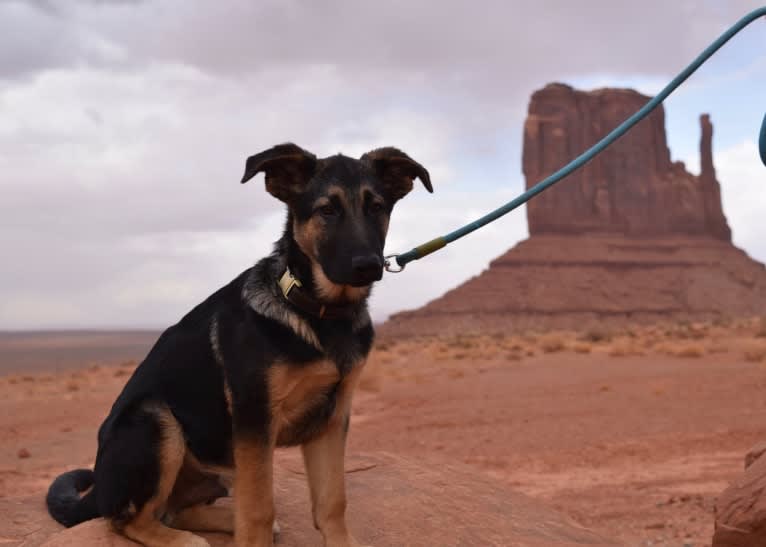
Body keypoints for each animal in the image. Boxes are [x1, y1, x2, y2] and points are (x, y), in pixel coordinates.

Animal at [46, 146, 432, 547]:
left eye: (377, 207)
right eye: (327, 210)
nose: (368, 266)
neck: (320, 314)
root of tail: (98, 489)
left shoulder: (332, 416)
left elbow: (332, 501)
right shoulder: (254, 416)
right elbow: (259, 509)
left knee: (175, 510)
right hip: (155, 421)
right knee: (126, 519)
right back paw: (185, 541)